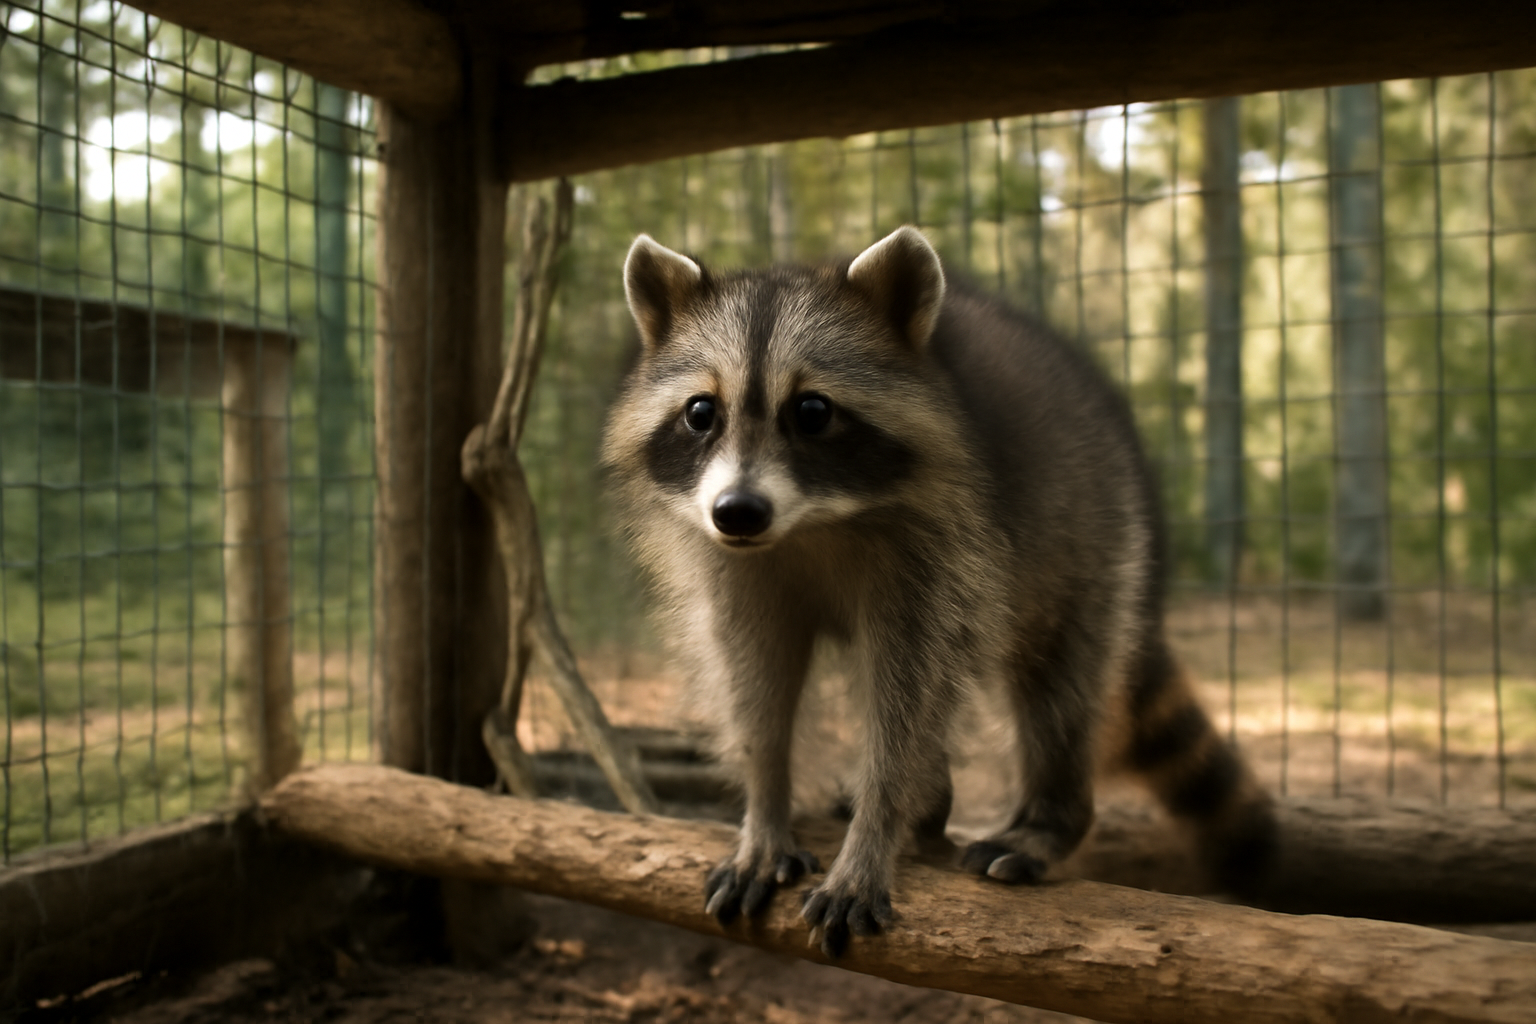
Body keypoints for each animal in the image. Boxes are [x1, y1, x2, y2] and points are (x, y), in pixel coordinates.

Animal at [601, 226, 1276, 957]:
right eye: (701, 411)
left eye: (811, 411)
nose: (739, 511)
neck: (812, 523)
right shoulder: (734, 563)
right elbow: (754, 682)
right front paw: (765, 804)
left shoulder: (943, 551)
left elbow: (908, 699)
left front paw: (874, 832)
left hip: (1099, 544)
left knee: (1059, 693)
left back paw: (1046, 817)